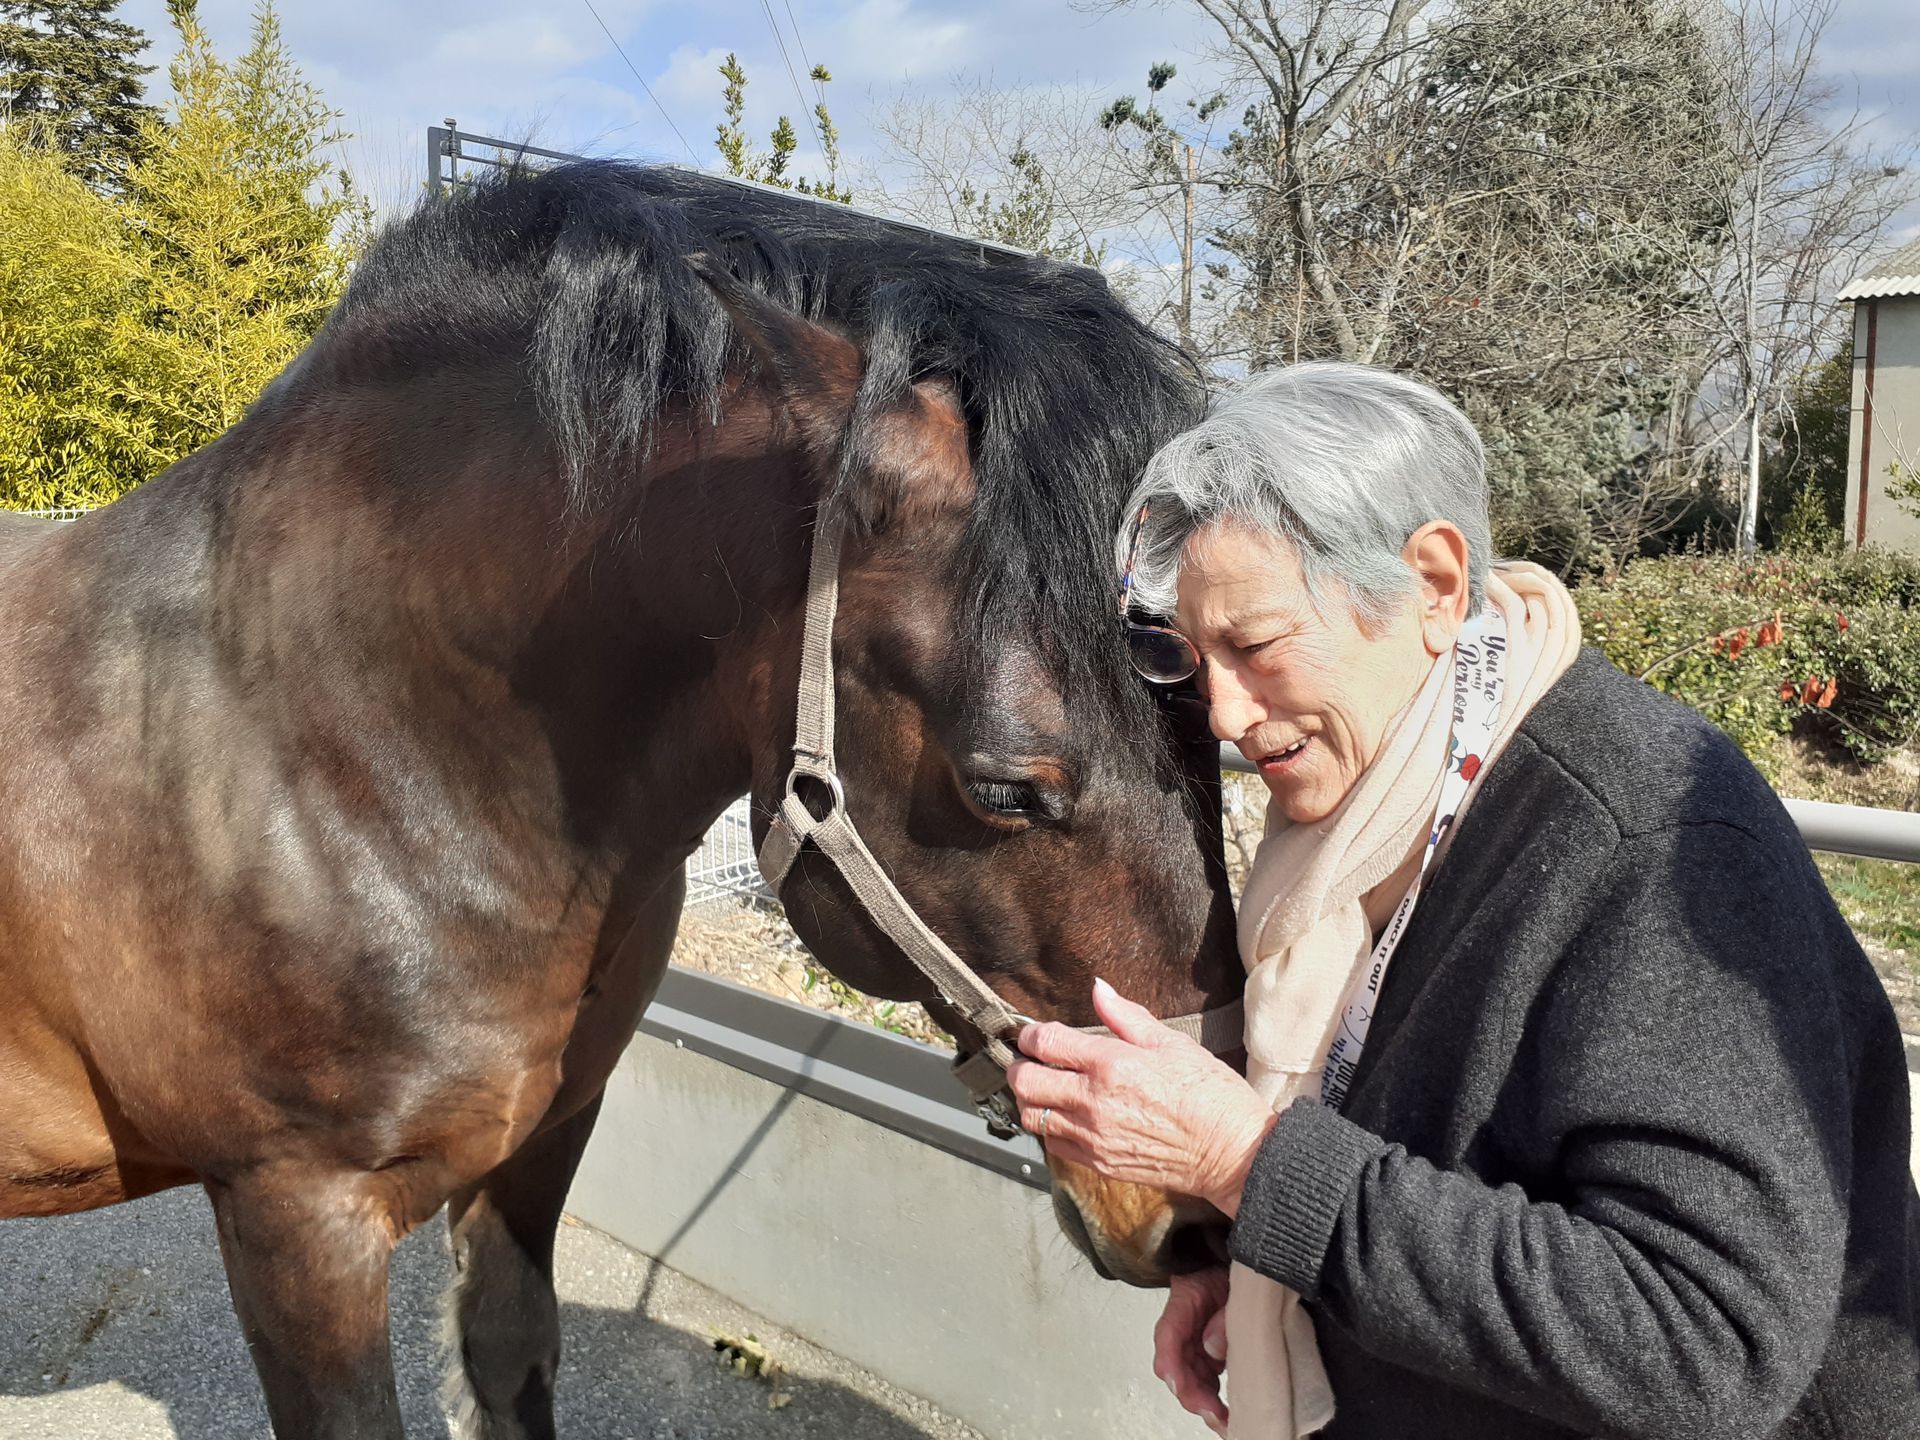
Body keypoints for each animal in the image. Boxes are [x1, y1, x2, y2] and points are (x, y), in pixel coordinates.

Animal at [0, 161, 1241, 1439]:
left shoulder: (544, 1134)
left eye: (1220, 729)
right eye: (1005, 787)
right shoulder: (293, 1217)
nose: (1202, 1220)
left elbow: (510, 1354)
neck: (330, 749)